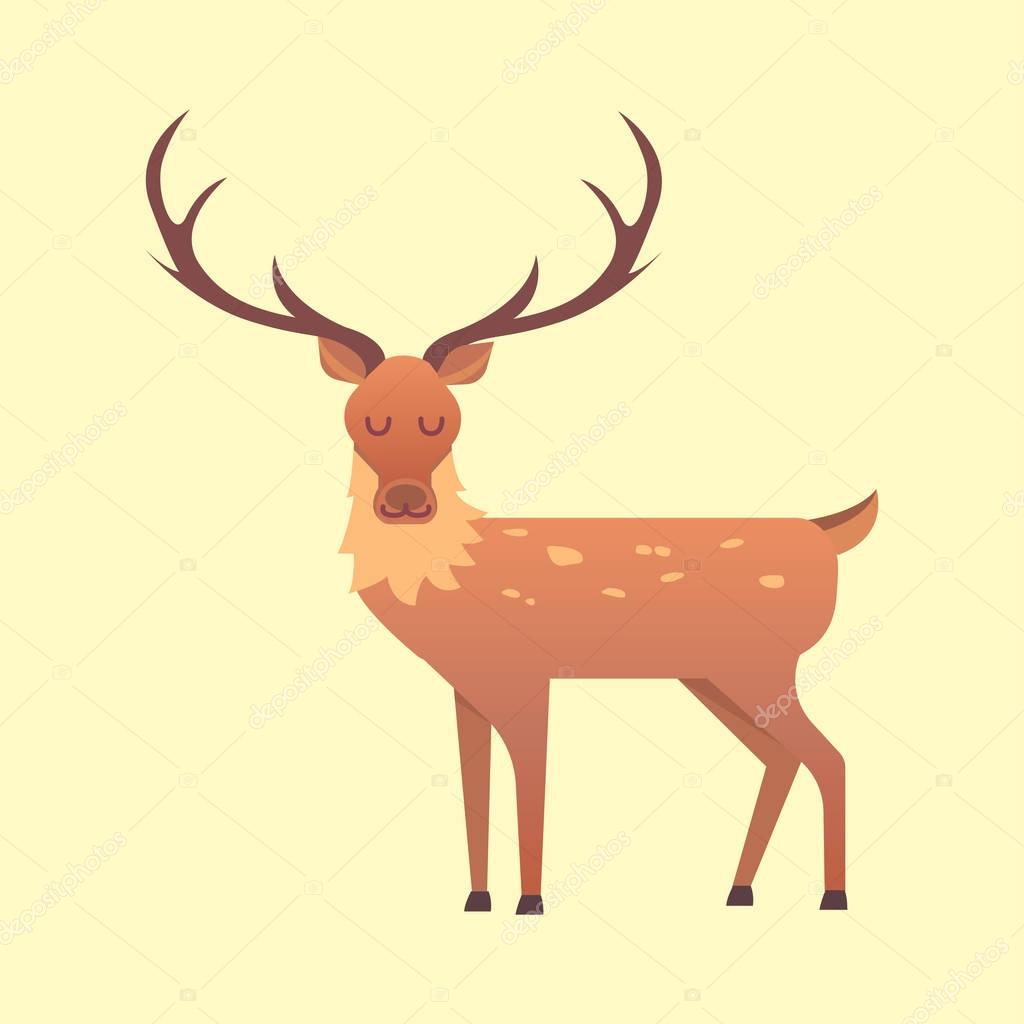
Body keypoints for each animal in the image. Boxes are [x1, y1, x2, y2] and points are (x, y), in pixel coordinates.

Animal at [147, 111, 877, 917]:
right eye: (362, 416)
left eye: (443, 417)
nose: (406, 502)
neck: (452, 583)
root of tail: (829, 530)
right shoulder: (468, 690)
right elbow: (475, 787)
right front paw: (476, 898)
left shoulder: (530, 675)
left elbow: (534, 786)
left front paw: (530, 902)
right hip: (714, 676)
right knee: (784, 760)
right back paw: (738, 889)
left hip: (765, 665)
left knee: (831, 757)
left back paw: (832, 896)